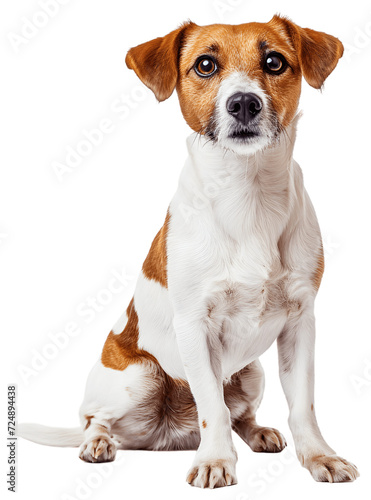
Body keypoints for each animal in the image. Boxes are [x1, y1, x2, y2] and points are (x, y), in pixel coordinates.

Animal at [19, 14, 360, 488]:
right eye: (205, 65)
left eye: (274, 61)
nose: (244, 103)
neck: (247, 196)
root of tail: (165, 435)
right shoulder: (194, 324)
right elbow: (211, 407)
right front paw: (215, 460)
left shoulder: (300, 323)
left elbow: (303, 405)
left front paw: (319, 456)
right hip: (137, 377)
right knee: (94, 419)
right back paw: (98, 443)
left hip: (250, 372)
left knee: (239, 414)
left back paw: (258, 432)